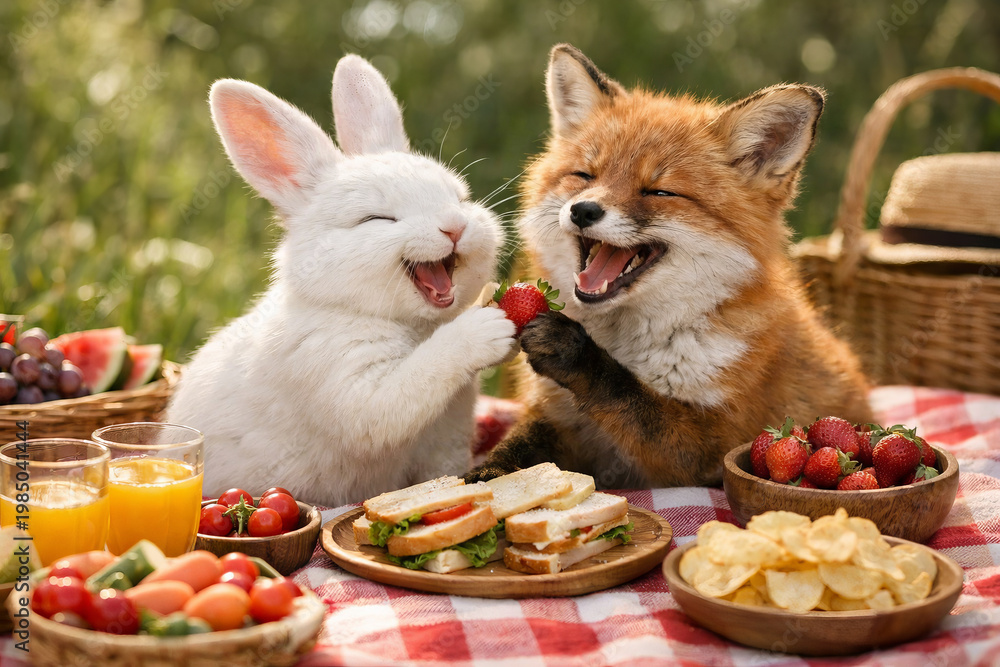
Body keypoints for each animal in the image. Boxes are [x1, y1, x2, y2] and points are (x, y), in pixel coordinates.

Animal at [167, 55, 516, 507]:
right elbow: (411, 384)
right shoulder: (354, 390)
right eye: (377, 219)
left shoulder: (445, 443)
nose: (454, 227)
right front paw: (487, 329)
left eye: (460, 197)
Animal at [466, 44, 872, 488]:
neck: (628, 343)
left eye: (659, 191)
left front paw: (576, 353)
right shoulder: (559, 418)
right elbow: (516, 447)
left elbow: (634, 401)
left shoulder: (711, 450)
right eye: (584, 175)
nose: (583, 210)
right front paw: (485, 478)